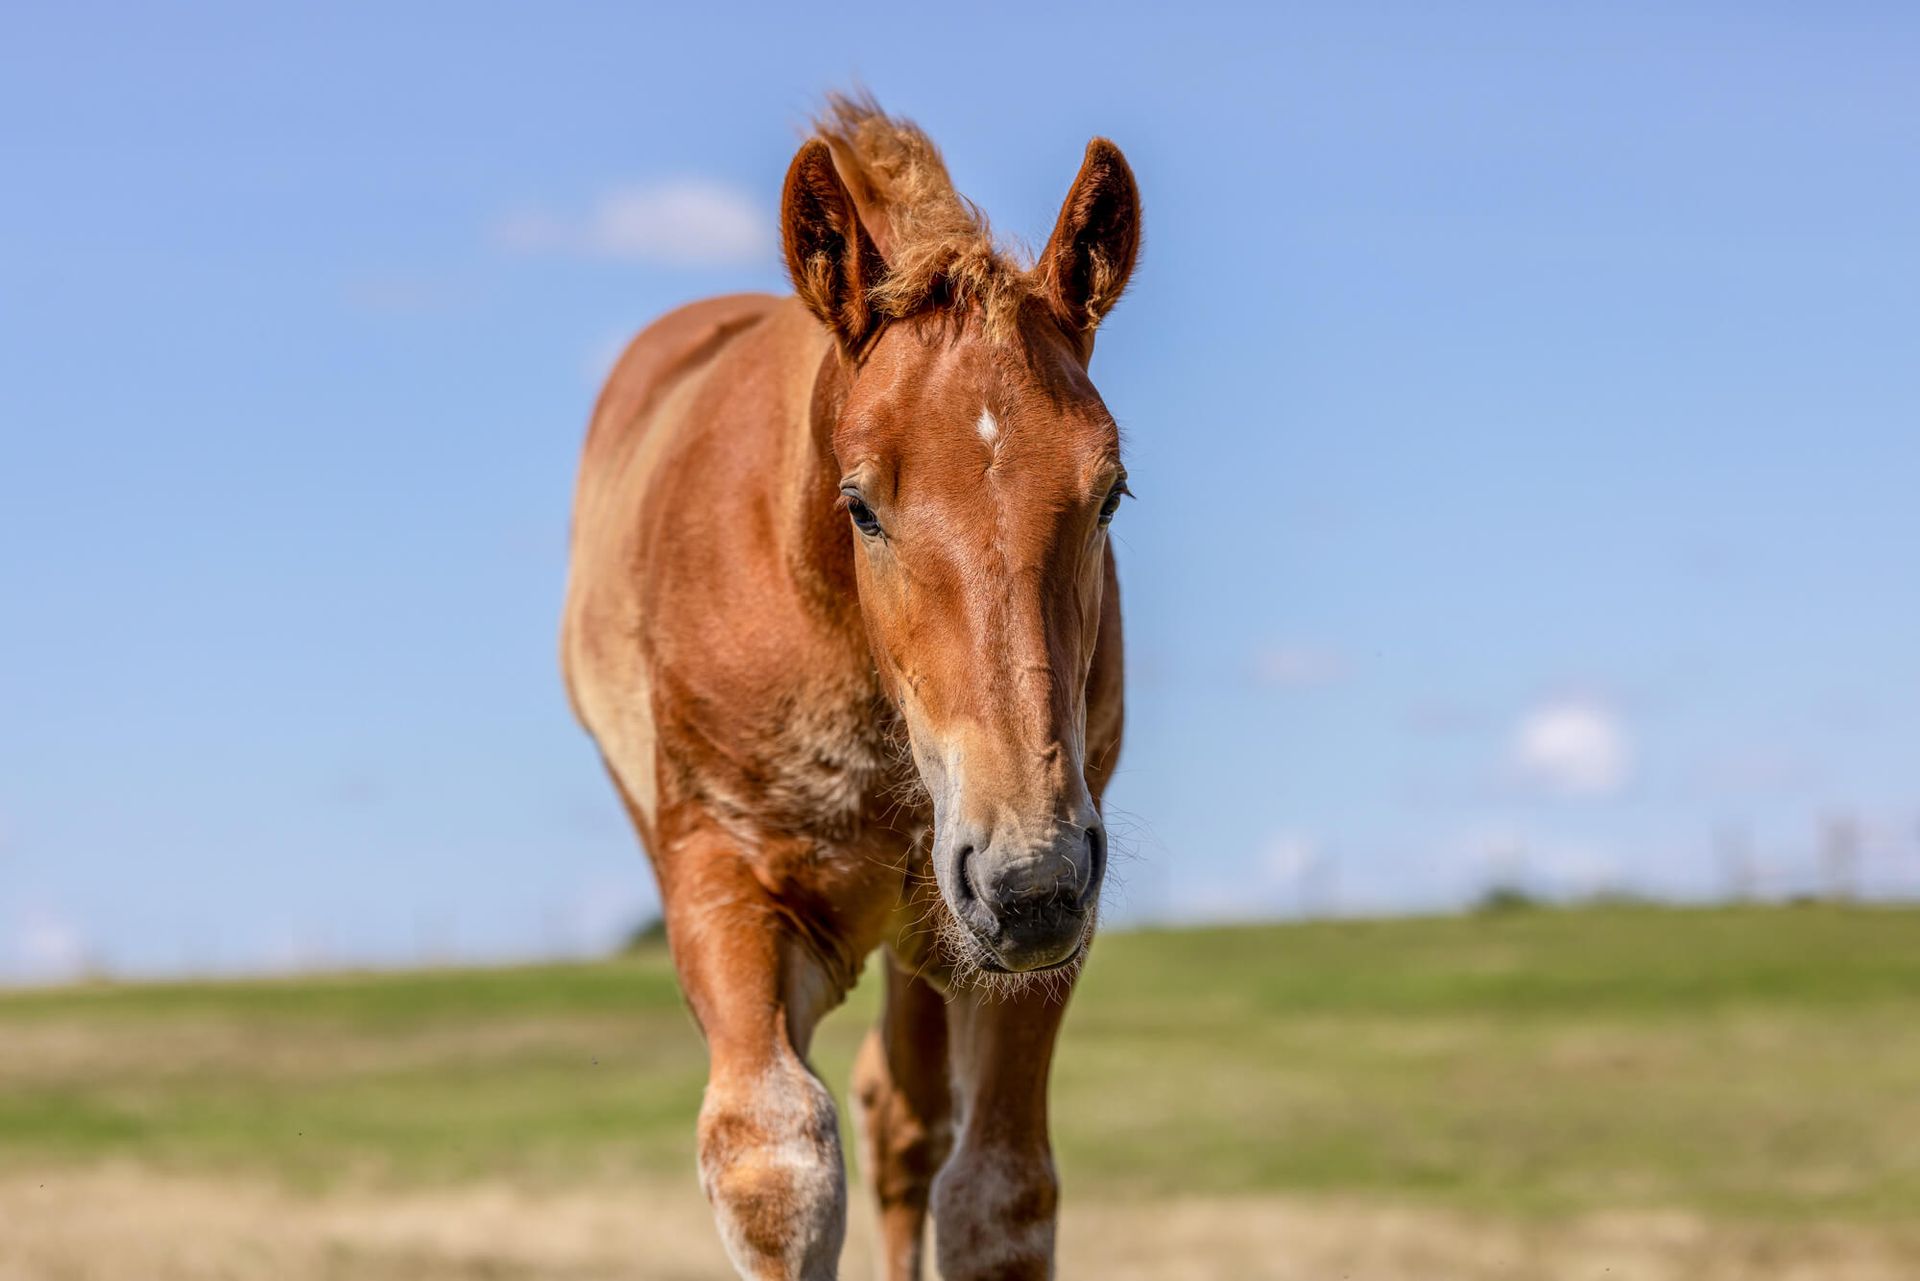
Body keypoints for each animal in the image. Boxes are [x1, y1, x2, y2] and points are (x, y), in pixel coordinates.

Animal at [561, 93, 1140, 1280]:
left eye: (1110, 492)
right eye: (861, 503)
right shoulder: (723, 881)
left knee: (906, 1120)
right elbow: (776, 1162)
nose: (1028, 876)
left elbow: (1001, 1196)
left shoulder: (1033, 931)